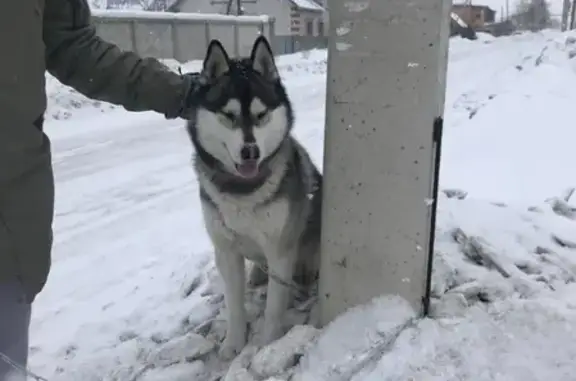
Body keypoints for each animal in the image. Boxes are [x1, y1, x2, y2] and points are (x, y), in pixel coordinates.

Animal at [187, 37, 324, 358]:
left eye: (262, 116)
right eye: (229, 116)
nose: (250, 152)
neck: (243, 192)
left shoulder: (280, 249)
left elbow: (274, 305)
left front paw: (268, 344)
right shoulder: (226, 250)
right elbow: (234, 304)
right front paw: (233, 344)